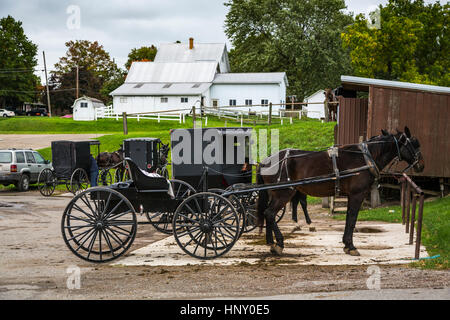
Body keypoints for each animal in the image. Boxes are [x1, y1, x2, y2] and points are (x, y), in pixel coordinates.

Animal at [258, 127, 424, 255]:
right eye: (415, 144)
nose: (421, 165)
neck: (366, 158)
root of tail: (266, 160)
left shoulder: (352, 196)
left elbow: (349, 218)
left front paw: (346, 244)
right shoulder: (357, 195)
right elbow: (352, 219)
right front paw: (351, 246)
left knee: (268, 213)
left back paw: (271, 241)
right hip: (283, 193)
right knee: (270, 213)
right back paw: (279, 244)